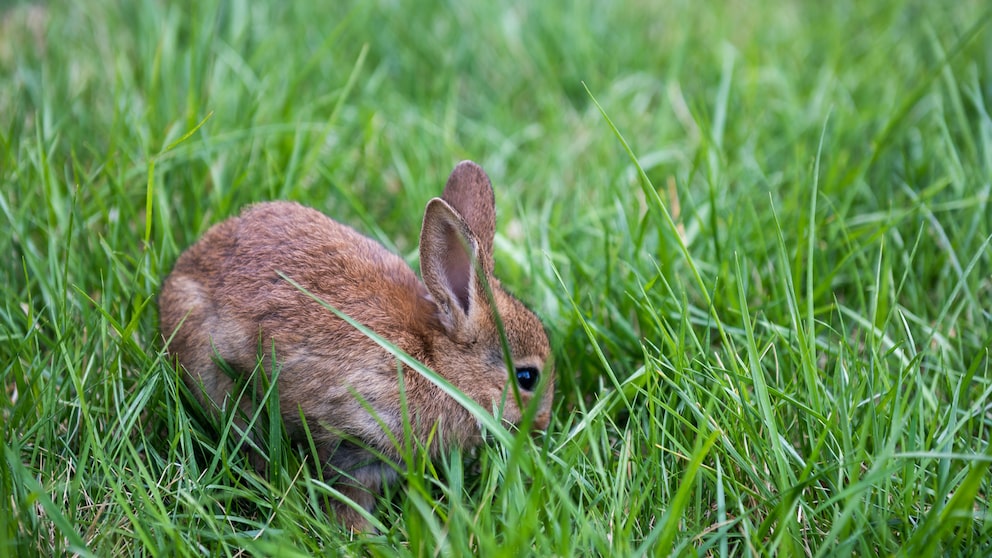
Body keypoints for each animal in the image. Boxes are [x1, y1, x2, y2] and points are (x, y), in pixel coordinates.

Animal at [159, 161, 556, 532]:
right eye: (527, 377)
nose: (542, 423)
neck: (438, 364)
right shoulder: (353, 431)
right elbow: (346, 490)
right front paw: (361, 534)